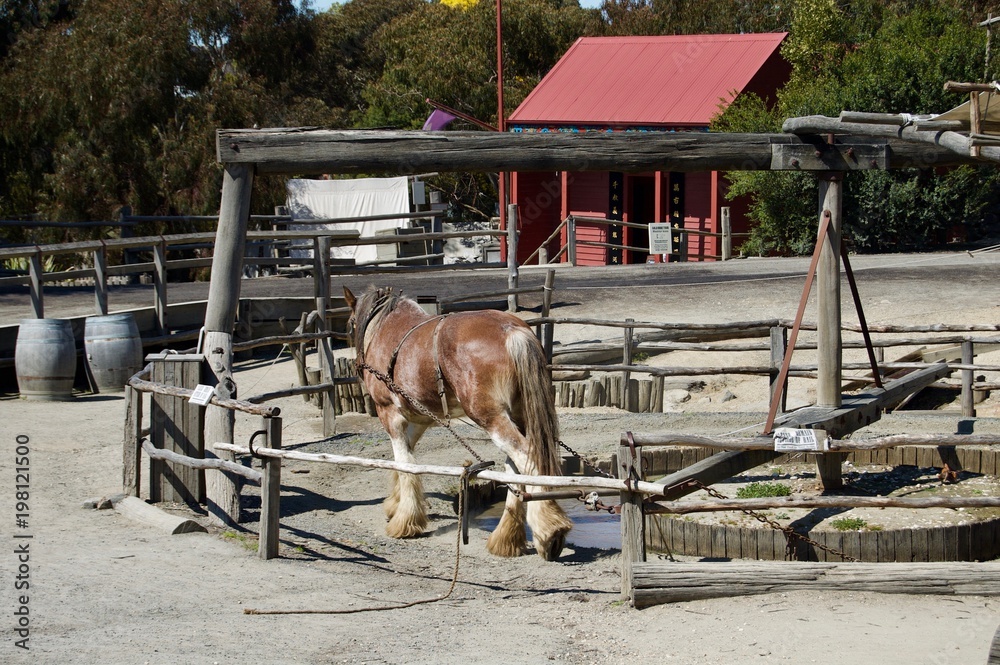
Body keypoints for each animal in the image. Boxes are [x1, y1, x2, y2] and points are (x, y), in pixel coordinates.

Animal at [344, 285, 572, 561]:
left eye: (350, 325)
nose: (358, 367)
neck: (385, 327)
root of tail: (512, 330)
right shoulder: (419, 419)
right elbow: (407, 460)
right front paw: (395, 505)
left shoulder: (390, 414)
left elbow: (404, 464)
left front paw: (405, 521)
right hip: (519, 416)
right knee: (515, 466)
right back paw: (507, 537)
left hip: (491, 417)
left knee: (527, 457)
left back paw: (549, 530)